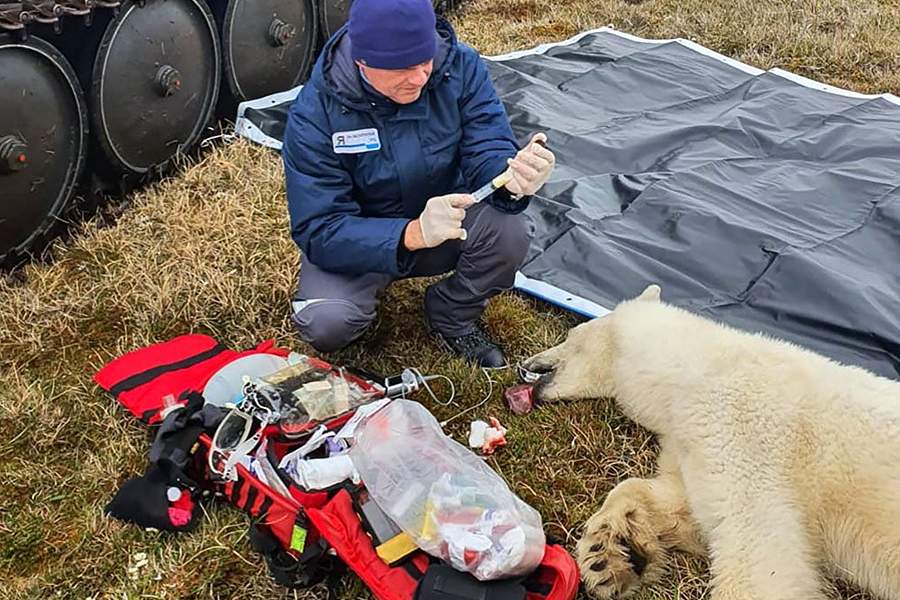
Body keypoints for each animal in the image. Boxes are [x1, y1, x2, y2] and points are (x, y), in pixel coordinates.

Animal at [524, 284, 896, 600]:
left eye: (571, 335)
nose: (527, 362)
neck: (695, 368)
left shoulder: (746, 428)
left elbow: (759, 550)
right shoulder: (688, 436)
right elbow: (686, 507)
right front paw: (608, 555)